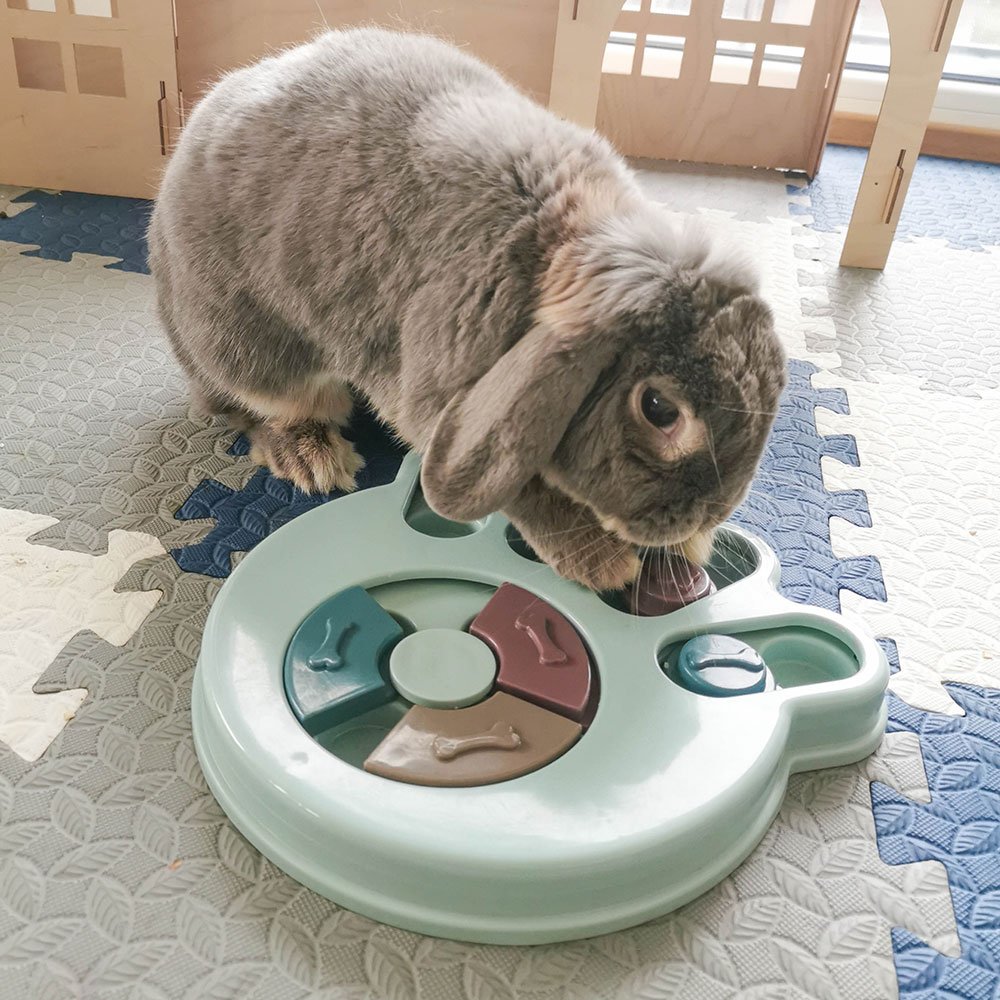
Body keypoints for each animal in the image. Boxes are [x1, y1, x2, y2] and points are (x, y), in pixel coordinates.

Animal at [148, 28, 786, 592]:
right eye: (659, 409)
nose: (704, 518)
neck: (557, 243)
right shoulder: (445, 399)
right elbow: (524, 489)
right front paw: (603, 563)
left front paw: (689, 549)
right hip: (246, 345)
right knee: (256, 408)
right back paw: (313, 458)